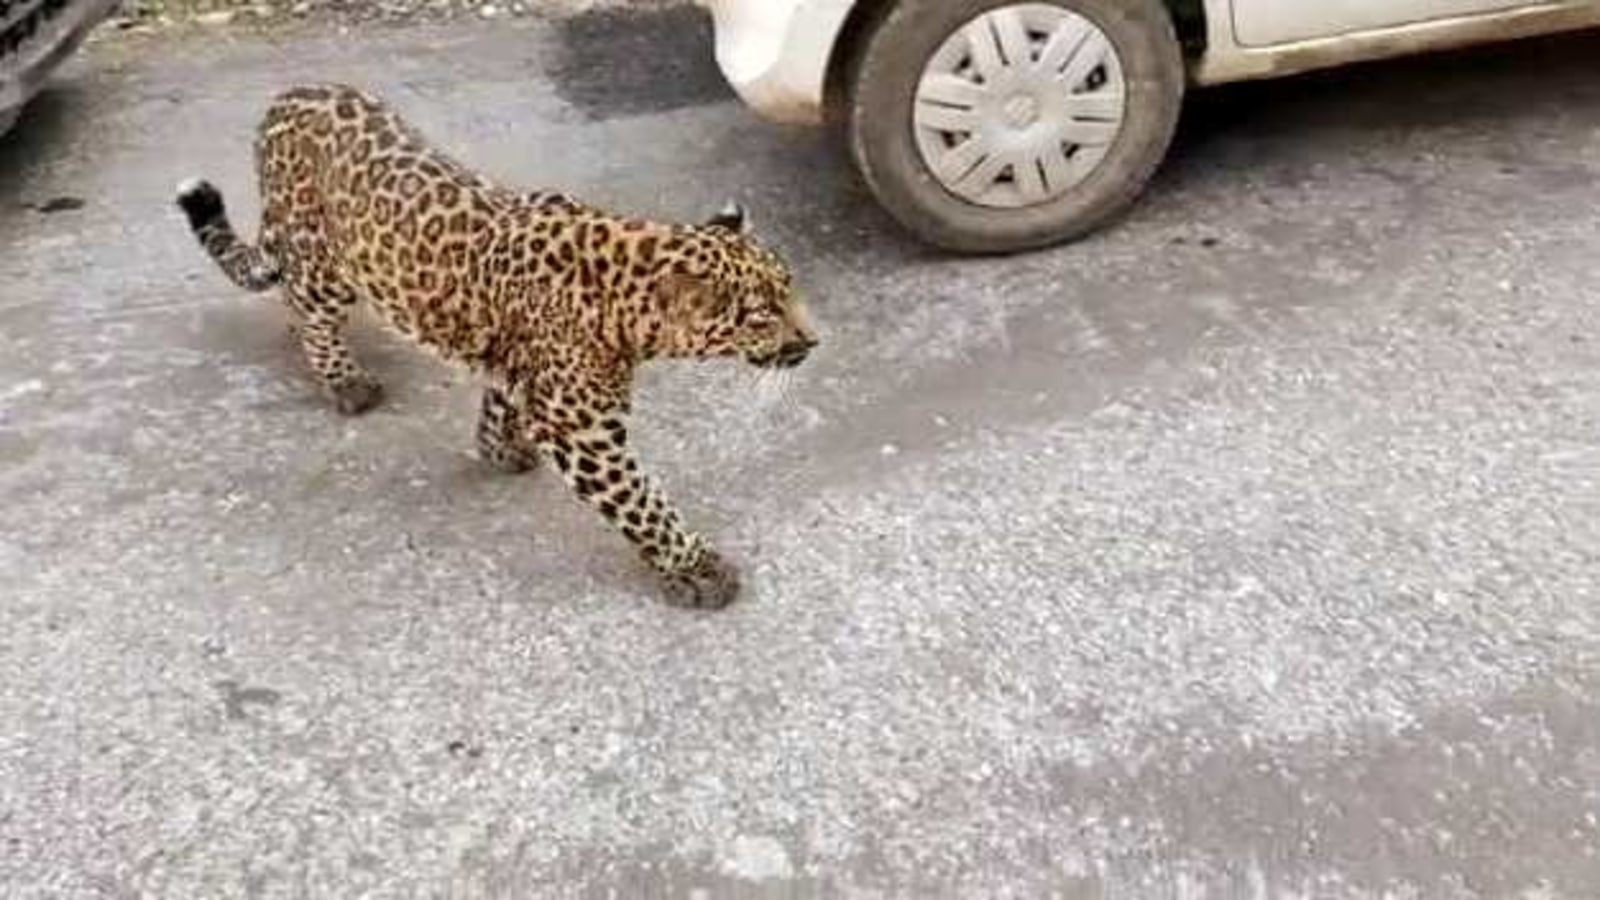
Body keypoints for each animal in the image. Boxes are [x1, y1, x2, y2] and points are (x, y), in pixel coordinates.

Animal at [181, 84, 819, 605]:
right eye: (764, 314)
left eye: (791, 289)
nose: (814, 340)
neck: (623, 298)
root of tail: (287, 98)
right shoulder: (583, 430)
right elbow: (644, 502)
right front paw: (697, 569)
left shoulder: (520, 366)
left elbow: (500, 399)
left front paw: (499, 449)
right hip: (324, 263)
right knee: (304, 302)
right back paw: (345, 380)